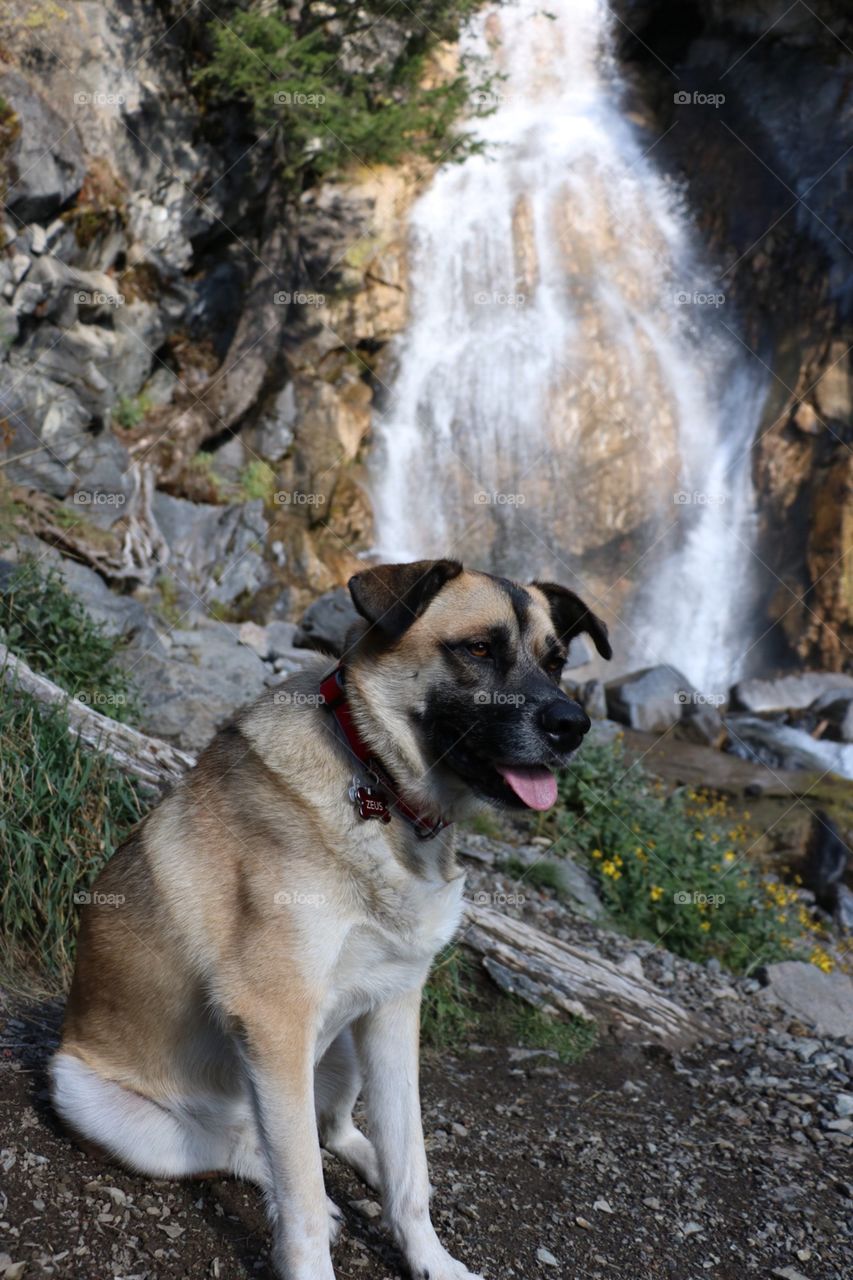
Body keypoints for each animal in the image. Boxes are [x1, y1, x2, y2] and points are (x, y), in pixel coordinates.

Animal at [49, 560, 607, 1280]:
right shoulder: (274, 1017)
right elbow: (304, 1201)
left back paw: (362, 1163)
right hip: (91, 1095)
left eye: (557, 660)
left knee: (331, 1133)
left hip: (342, 1046)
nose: (573, 725)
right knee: (250, 1151)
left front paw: (431, 1257)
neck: (379, 786)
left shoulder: (395, 1006)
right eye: (480, 648)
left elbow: (410, 1161)